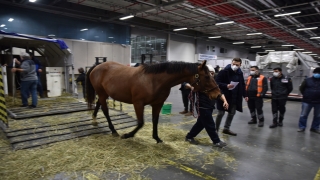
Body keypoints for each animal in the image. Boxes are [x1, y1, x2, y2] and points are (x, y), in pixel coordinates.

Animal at [86, 60, 221, 143]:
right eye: (207, 76)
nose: (218, 94)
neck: (154, 80)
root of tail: (97, 66)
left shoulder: (157, 104)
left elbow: (155, 121)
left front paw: (157, 138)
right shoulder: (138, 104)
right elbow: (140, 123)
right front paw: (128, 135)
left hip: (104, 94)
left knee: (98, 105)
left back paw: (94, 119)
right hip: (102, 93)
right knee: (105, 110)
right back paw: (113, 131)